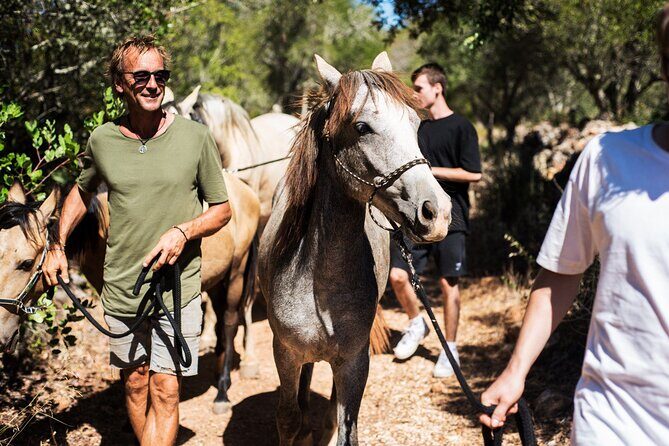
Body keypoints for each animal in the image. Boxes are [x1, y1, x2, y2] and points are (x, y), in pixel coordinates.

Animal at [0, 173, 260, 414]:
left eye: (26, 263)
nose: (2, 335)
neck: (102, 232)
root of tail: (245, 190)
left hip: (236, 273)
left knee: (229, 322)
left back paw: (222, 392)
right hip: (215, 280)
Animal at [258, 52, 452, 446]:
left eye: (414, 123)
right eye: (362, 127)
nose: (436, 212)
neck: (318, 283)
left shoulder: (354, 362)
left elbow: (347, 429)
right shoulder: (284, 354)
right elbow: (288, 418)